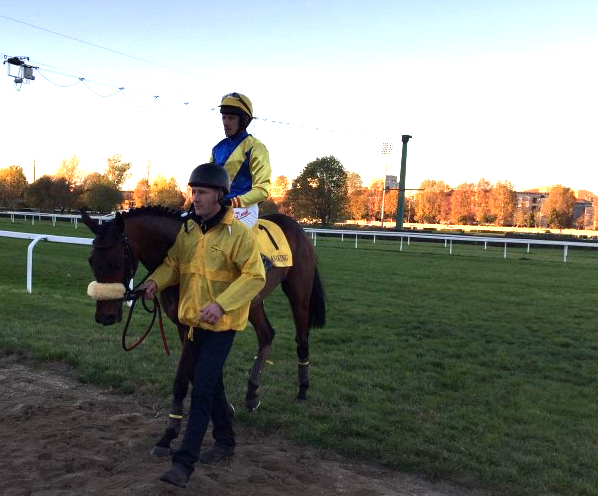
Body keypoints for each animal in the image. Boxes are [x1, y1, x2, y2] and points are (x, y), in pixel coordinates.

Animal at [81, 206, 326, 458]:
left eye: (117, 262)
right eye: (91, 260)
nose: (105, 316)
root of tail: (296, 226)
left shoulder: (195, 325)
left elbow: (183, 378)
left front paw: (169, 436)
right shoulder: (184, 327)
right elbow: (197, 372)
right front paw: (225, 409)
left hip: (299, 294)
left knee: (301, 339)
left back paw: (302, 392)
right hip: (251, 302)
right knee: (266, 334)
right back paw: (252, 394)